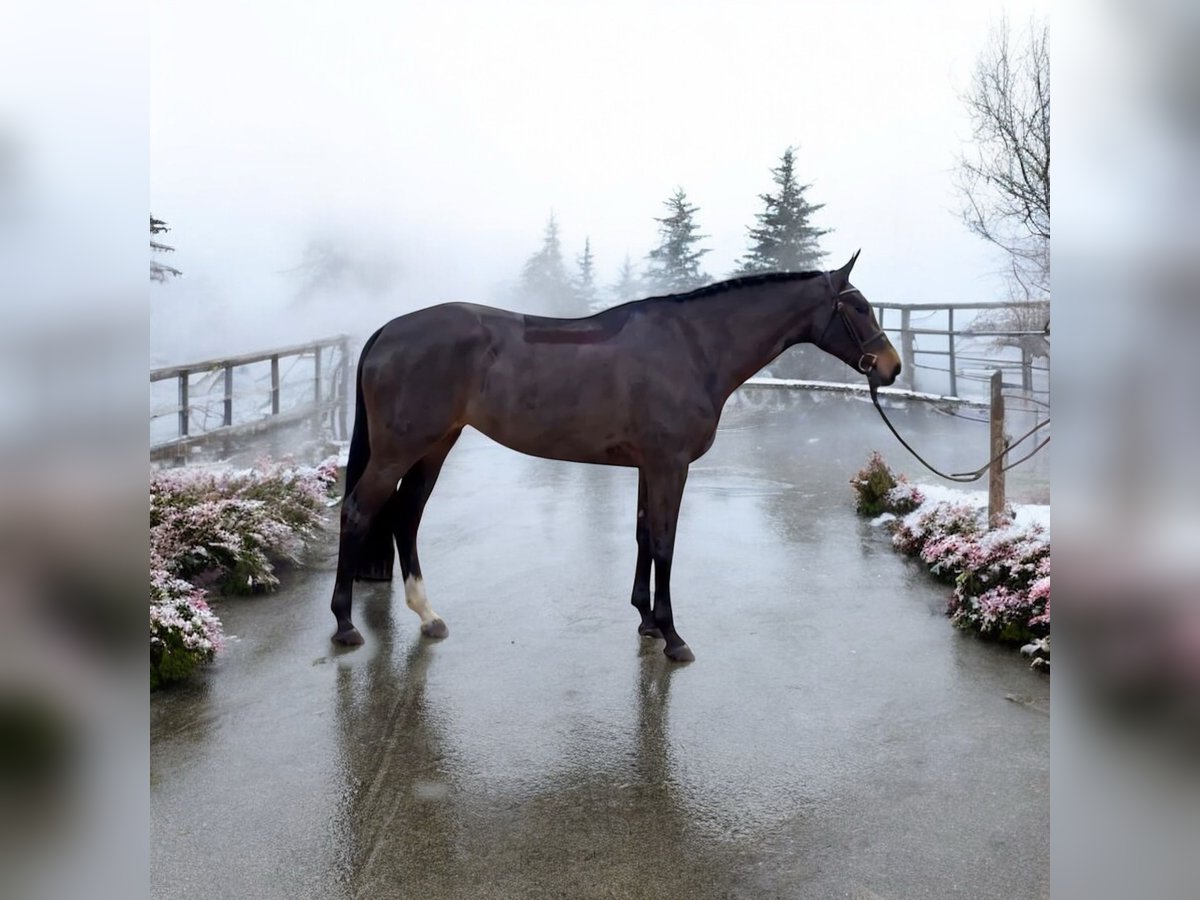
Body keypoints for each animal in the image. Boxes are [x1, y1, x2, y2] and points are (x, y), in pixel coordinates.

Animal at [328, 250, 902, 657]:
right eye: (857, 307)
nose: (891, 367)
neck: (694, 348)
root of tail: (387, 331)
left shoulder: (650, 466)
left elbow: (645, 535)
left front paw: (647, 622)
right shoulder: (670, 465)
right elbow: (666, 543)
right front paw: (673, 637)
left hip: (434, 446)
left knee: (405, 516)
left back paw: (428, 616)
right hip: (400, 450)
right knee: (358, 512)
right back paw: (345, 626)